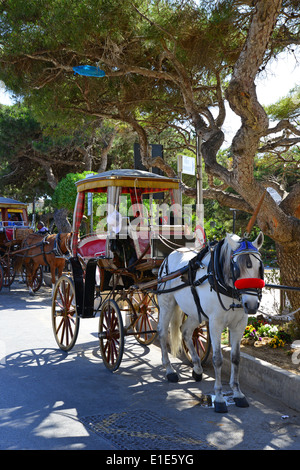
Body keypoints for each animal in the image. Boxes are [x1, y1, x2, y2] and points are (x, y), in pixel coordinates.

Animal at [157, 233, 264, 414]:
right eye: (237, 268)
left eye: (259, 268)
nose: (251, 305)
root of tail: (170, 255)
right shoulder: (215, 324)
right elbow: (218, 359)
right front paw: (219, 398)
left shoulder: (239, 325)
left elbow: (236, 358)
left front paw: (237, 393)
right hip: (167, 304)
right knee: (163, 333)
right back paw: (169, 370)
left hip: (194, 311)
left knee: (186, 331)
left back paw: (197, 368)